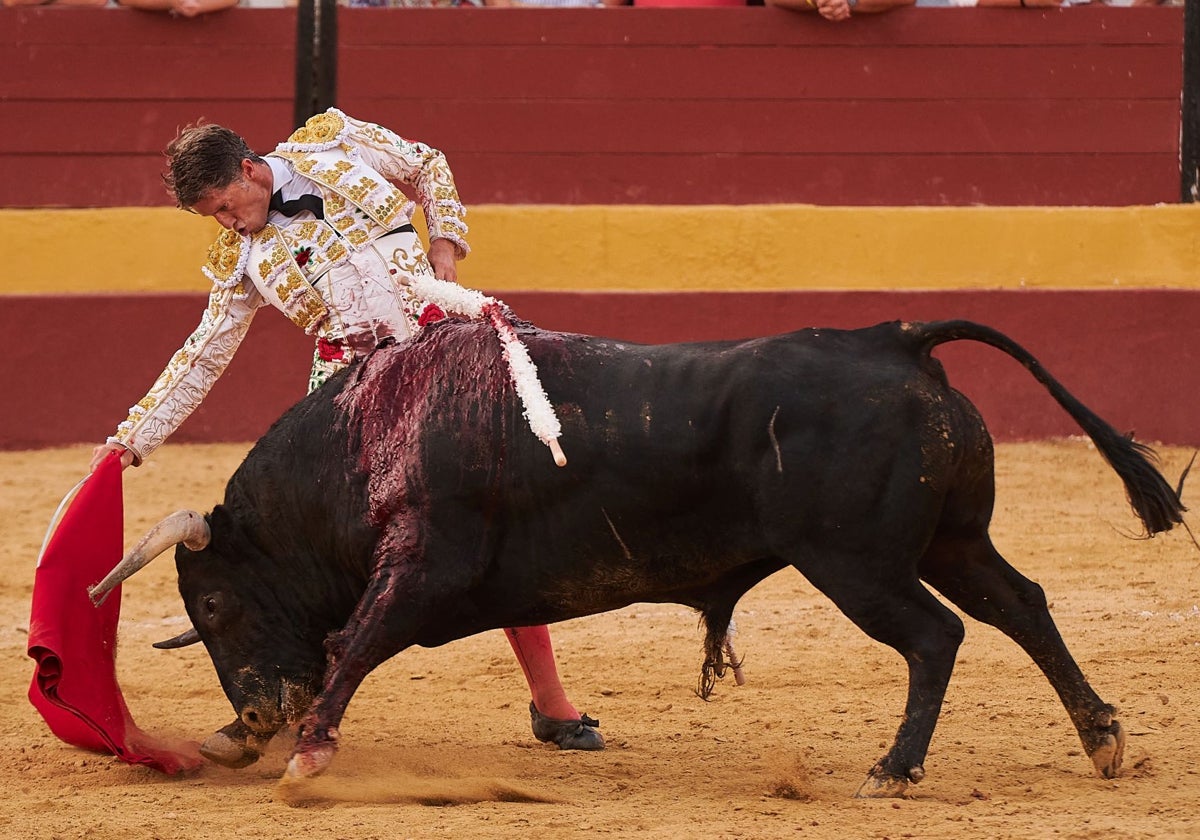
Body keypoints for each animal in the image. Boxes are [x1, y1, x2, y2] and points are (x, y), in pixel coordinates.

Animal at [98, 314, 1185, 792]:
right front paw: (247, 742)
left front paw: (306, 753)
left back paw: (894, 767)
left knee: (935, 636)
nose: (252, 716)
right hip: (951, 539)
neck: (370, 434)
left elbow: (352, 644)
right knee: (1023, 605)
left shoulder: (423, 566)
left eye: (217, 606)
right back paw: (1101, 737)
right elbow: (345, 646)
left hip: (857, 563)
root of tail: (895, 339)